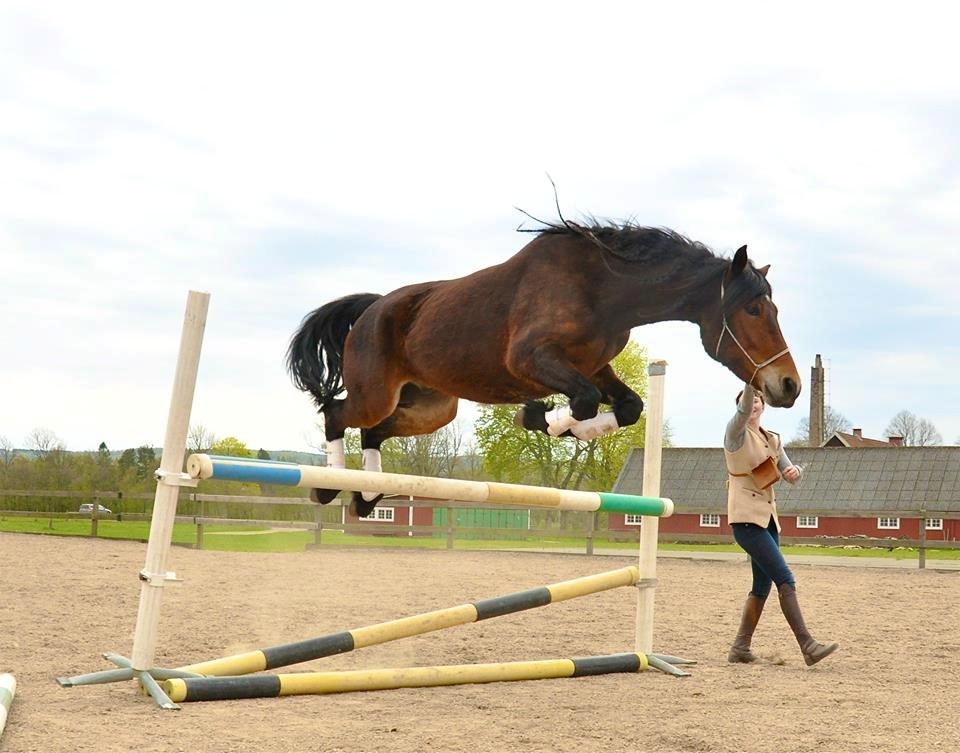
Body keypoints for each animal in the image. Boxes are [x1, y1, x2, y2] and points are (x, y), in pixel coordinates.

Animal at [288, 222, 800, 516]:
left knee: (373, 430)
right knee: (337, 413)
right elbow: (584, 401)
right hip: (376, 392)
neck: (605, 291)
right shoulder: (531, 359)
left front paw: (555, 423)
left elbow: (628, 407)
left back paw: (367, 495)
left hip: (433, 406)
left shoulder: (595, 366)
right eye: (754, 310)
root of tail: (373, 309)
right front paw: (541, 418)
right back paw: (327, 488)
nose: (789, 386)